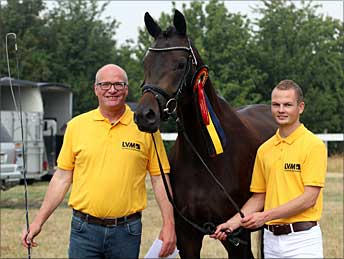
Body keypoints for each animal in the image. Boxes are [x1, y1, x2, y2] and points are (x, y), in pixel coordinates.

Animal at [135, 10, 280, 259]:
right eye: (146, 62)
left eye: (180, 63)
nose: (145, 115)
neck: (205, 157)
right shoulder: (188, 237)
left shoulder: (236, 235)